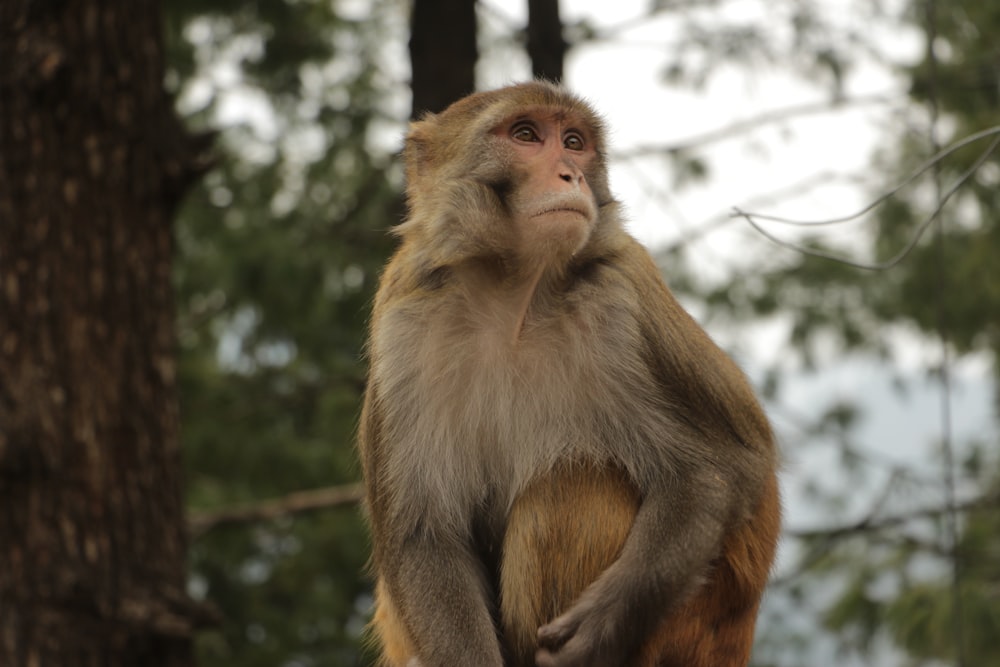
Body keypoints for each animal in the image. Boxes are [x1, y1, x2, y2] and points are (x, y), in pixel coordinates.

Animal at [360, 79, 780, 667]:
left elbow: (722, 468)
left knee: (572, 486)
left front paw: (601, 625)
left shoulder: (625, 297)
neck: (514, 296)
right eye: (526, 135)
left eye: (575, 142)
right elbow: (426, 537)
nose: (570, 174)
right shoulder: (399, 323)